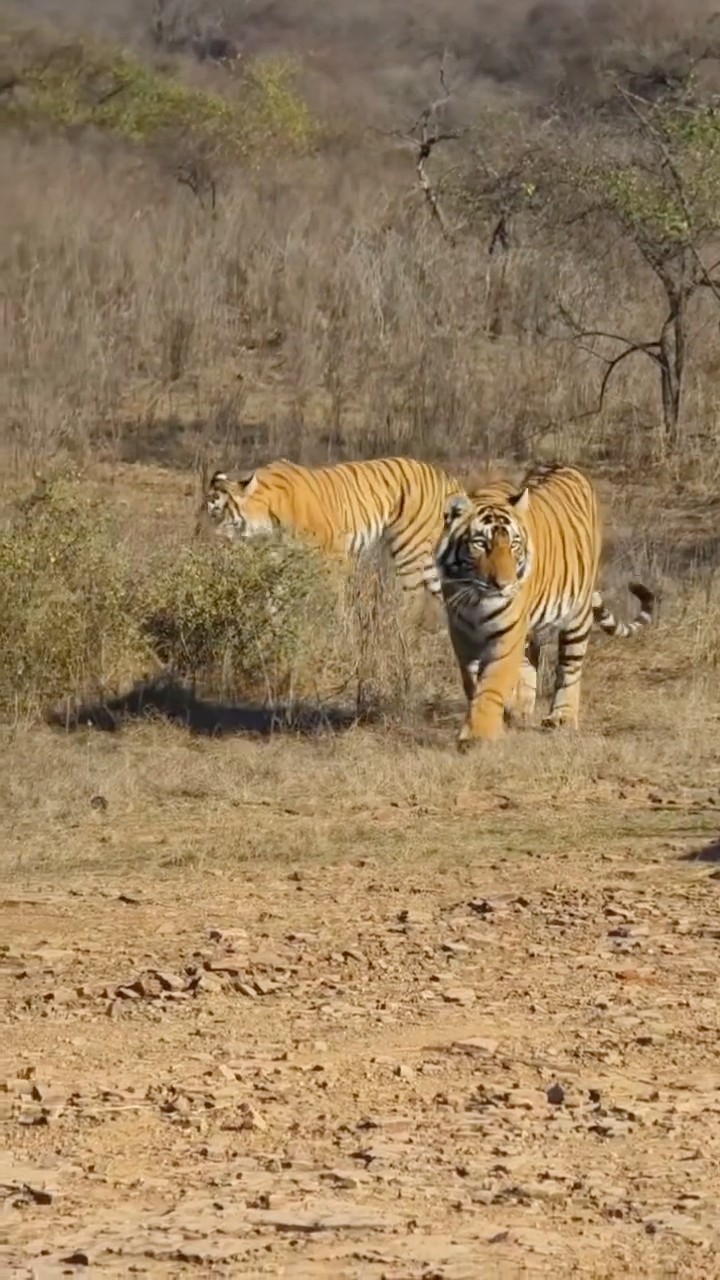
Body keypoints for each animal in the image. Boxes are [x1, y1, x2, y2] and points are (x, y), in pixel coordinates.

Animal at [201, 457, 465, 599]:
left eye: (215, 510)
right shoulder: (277, 559)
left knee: (413, 599)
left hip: (408, 547)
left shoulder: (333, 557)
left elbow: (333, 600)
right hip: (427, 556)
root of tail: (447, 476)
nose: (203, 535)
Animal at [434, 462, 654, 746]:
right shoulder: (461, 632)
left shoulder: (507, 634)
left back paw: (561, 716)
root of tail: (564, 464)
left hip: (577, 616)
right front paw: (499, 713)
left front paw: (478, 734)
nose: (504, 584)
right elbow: (473, 681)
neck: (475, 597)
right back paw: (521, 708)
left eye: (514, 545)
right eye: (480, 544)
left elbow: (491, 683)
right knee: (531, 661)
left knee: (570, 667)